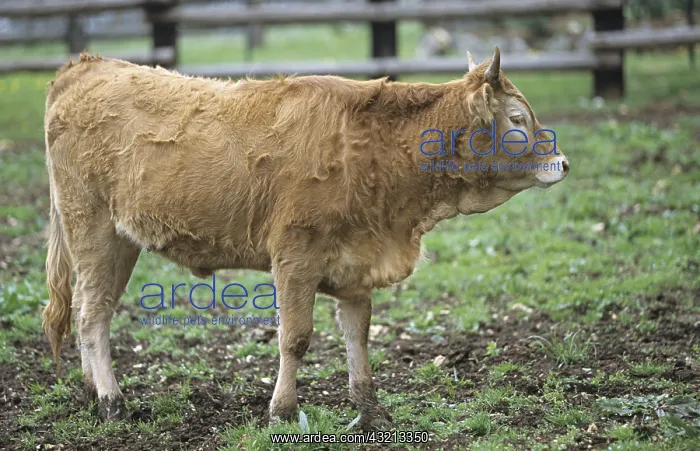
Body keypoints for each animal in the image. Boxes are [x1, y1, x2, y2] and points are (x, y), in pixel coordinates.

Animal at [42, 47, 568, 430]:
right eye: (517, 119)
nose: (562, 163)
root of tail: (88, 64)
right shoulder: (295, 257)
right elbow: (295, 339)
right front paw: (283, 411)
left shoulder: (357, 263)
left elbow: (358, 336)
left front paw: (369, 410)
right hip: (90, 226)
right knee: (91, 315)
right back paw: (111, 402)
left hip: (119, 240)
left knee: (94, 309)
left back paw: (91, 390)